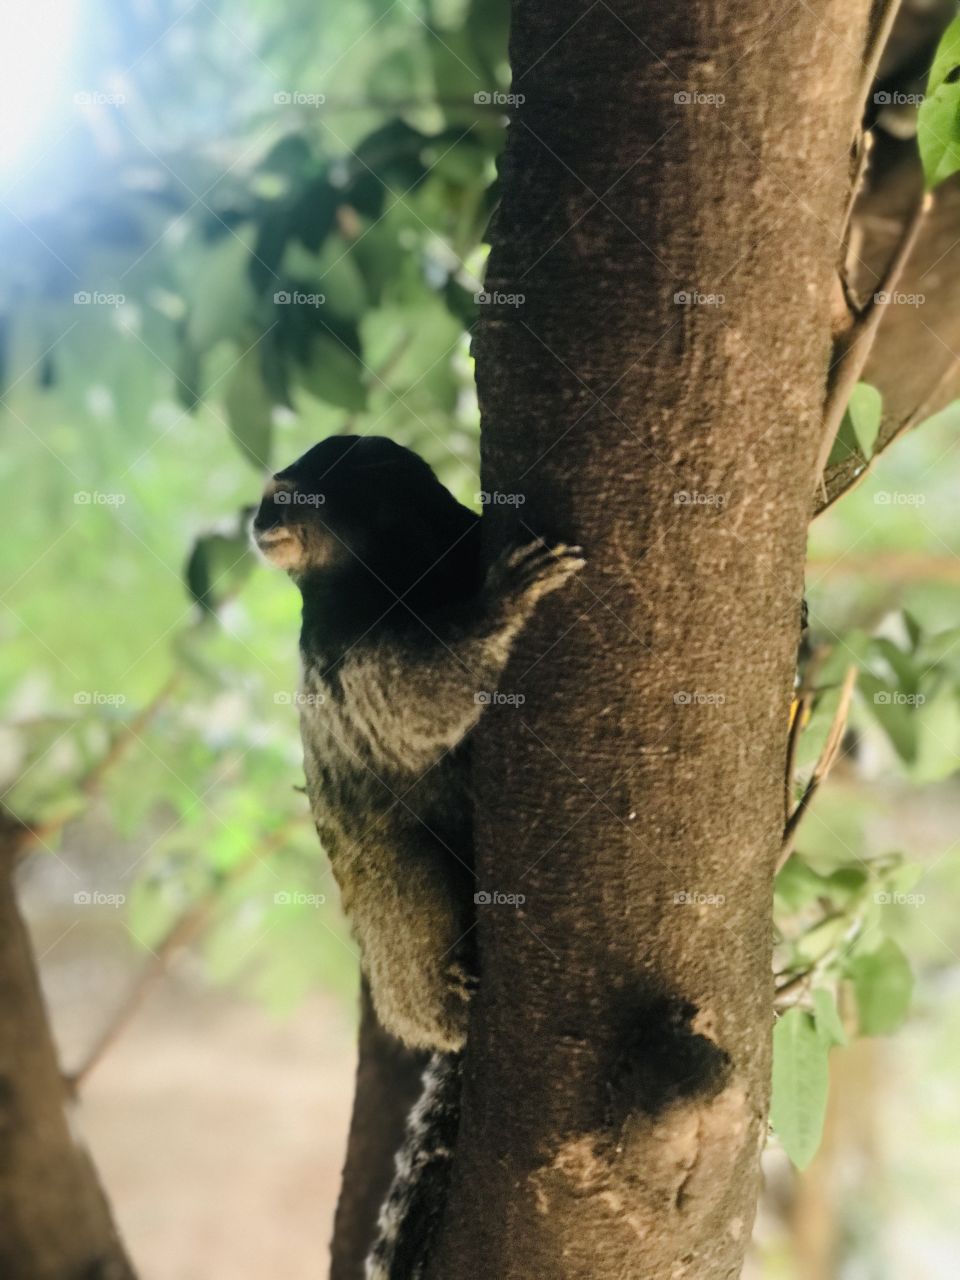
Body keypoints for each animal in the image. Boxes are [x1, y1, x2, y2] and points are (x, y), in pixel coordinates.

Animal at [252, 434, 584, 1275]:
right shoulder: (335, 649)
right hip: (391, 933)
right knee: (402, 883)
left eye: (281, 500)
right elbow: (412, 702)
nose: (259, 524)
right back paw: (450, 996)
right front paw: (503, 609)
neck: (402, 565)